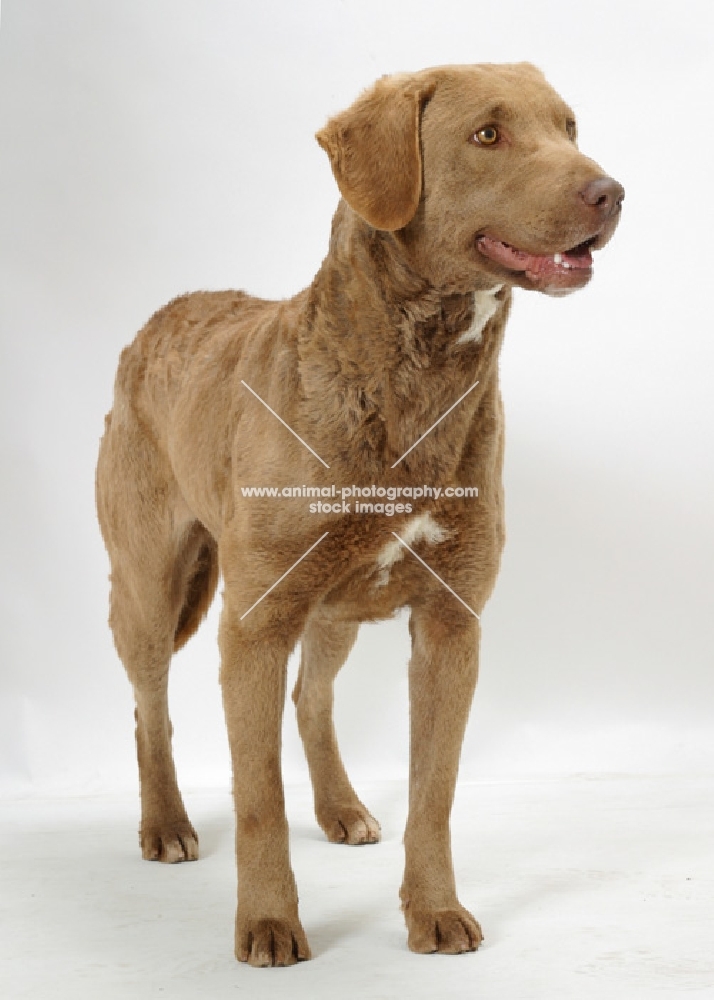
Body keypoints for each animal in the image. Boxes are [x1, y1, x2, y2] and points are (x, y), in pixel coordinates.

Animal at [96, 64, 624, 968]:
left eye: (569, 127)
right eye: (488, 135)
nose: (611, 191)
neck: (413, 377)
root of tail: (159, 317)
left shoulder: (451, 621)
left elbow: (434, 793)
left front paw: (435, 912)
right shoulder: (255, 620)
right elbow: (258, 798)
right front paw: (269, 924)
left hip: (335, 601)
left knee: (312, 696)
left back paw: (341, 807)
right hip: (151, 583)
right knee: (149, 706)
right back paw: (164, 824)